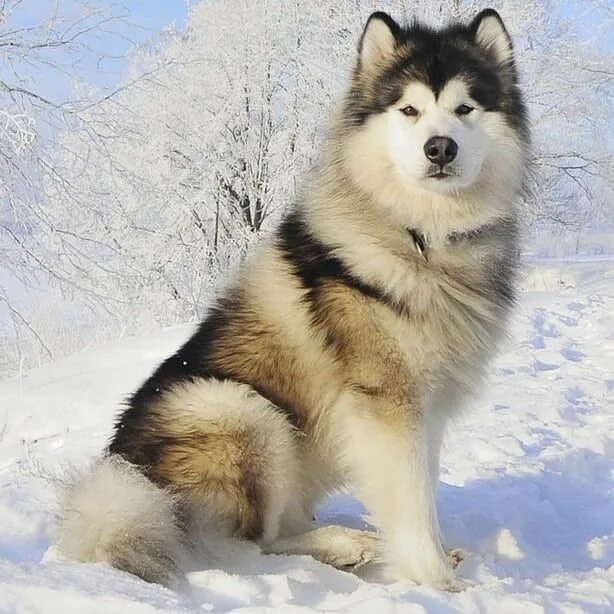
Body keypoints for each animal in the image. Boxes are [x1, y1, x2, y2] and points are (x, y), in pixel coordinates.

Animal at [56, 8, 528, 592]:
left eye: (465, 109)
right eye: (409, 110)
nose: (440, 147)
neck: (423, 236)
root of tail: (124, 478)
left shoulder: (427, 407)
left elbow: (419, 493)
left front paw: (435, 559)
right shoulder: (388, 404)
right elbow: (413, 503)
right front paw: (437, 582)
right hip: (240, 410)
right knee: (249, 545)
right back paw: (340, 544)